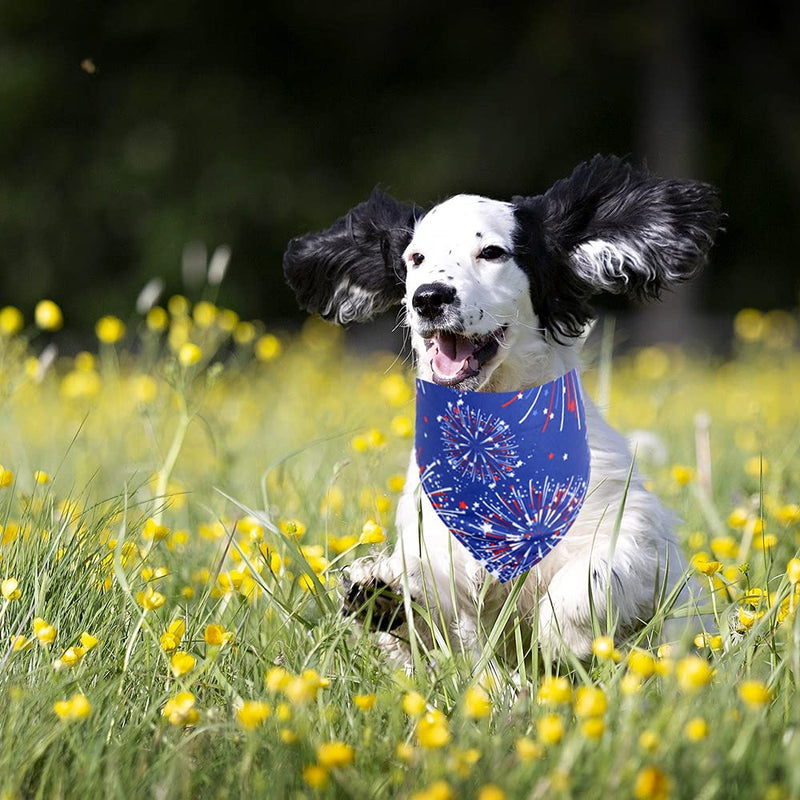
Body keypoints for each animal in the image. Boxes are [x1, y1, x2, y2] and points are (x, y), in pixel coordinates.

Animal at [284, 155, 720, 664]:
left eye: (492, 252)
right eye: (415, 258)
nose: (429, 297)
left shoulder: (631, 530)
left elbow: (594, 573)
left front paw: (563, 636)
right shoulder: (441, 545)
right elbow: (432, 601)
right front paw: (383, 595)